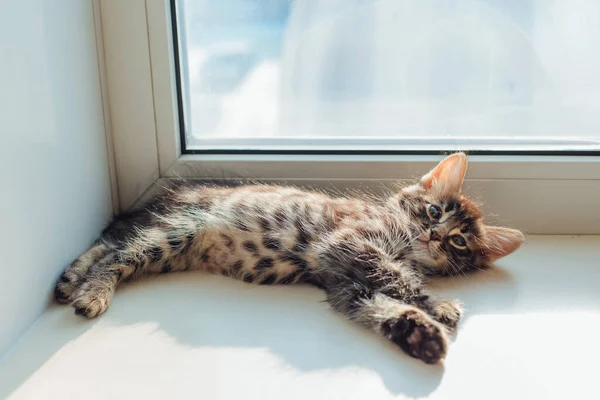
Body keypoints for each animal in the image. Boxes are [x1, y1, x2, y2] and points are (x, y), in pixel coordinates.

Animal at [57, 154, 524, 366]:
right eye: (433, 211)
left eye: (459, 242)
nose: (436, 236)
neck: (405, 245)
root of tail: (171, 196)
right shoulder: (349, 245)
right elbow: (400, 281)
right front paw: (439, 307)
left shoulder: (345, 284)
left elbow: (382, 307)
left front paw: (418, 334)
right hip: (179, 231)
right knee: (117, 251)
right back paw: (90, 291)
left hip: (173, 246)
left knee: (111, 243)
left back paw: (70, 280)